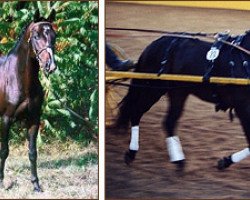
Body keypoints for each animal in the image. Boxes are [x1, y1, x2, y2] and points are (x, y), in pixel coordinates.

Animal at [0, 10, 57, 191]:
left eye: (54, 36)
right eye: (36, 36)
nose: (50, 66)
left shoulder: (33, 119)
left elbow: (32, 152)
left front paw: (36, 184)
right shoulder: (6, 119)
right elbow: (4, 150)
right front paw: (1, 181)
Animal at [116, 30, 250, 170]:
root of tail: (154, 44)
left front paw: (225, 161)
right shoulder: (242, 106)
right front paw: (225, 161)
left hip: (177, 92)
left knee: (169, 121)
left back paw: (178, 160)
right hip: (154, 89)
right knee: (136, 112)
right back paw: (132, 152)